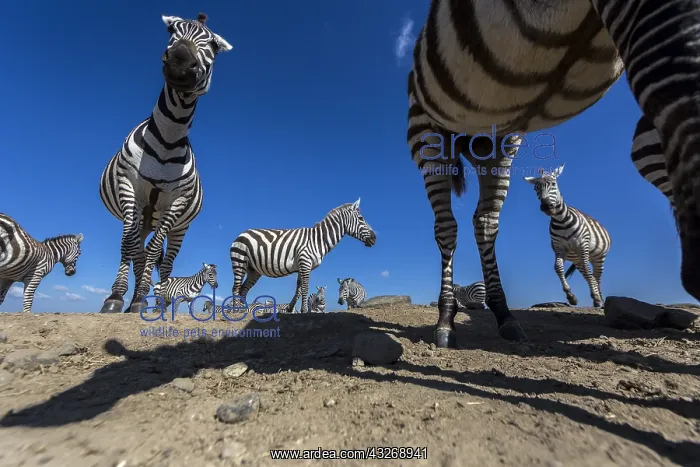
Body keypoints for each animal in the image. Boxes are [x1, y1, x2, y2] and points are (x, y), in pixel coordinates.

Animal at [98, 13, 232, 314]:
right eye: (172, 31)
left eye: (213, 46)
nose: (180, 60)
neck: (168, 138)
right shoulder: (128, 185)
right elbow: (131, 247)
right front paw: (117, 296)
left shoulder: (177, 201)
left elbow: (152, 252)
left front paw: (139, 298)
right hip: (141, 215)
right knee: (134, 246)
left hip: (179, 227)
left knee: (165, 259)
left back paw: (150, 295)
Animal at [230, 199, 376, 314]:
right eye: (361, 219)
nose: (374, 238)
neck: (318, 240)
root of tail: (242, 233)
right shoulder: (305, 262)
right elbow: (305, 288)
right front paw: (304, 310)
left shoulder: (303, 266)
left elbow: (299, 289)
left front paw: (290, 308)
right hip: (240, 260)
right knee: (236, 287)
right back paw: (236, 310)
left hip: (254, 270)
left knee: (244, 289)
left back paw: (244, 310)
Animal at [524, 165, 611, 308]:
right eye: (535, 188)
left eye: (553, 184)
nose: (546, 206)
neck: (561, 221)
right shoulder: (559, 248)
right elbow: (558, 268)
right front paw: (571, 296)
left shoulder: (582, 245)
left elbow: (588, 271)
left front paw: (597, 298)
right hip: (577, 259)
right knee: (589, 275)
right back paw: (595, 298)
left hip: (598, 257)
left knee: (596, 276)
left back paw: (599, 299)